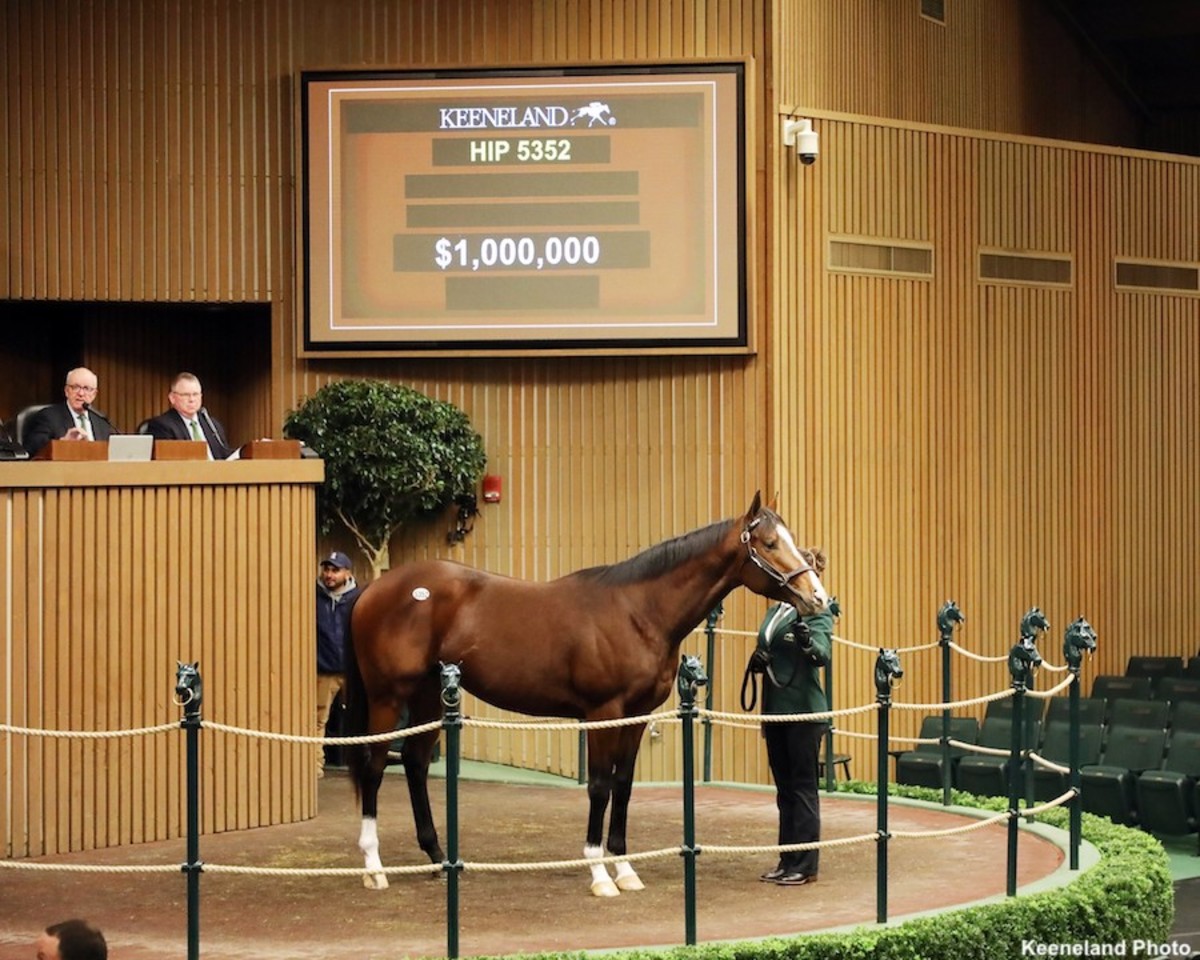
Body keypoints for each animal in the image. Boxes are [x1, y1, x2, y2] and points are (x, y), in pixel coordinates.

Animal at [338, 492, 825, 897]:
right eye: (768, 543)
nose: (817, 597)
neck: (638, 613)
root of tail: (375, 588)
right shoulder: (601, 713)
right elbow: (599, 786)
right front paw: (599, 874)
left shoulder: (636, 716)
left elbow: (623, 786)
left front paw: (625, 869)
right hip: (387, 698)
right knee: (375, 768)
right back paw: (375, 868)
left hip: (426, 696)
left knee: (416, 764)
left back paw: (439, 859)